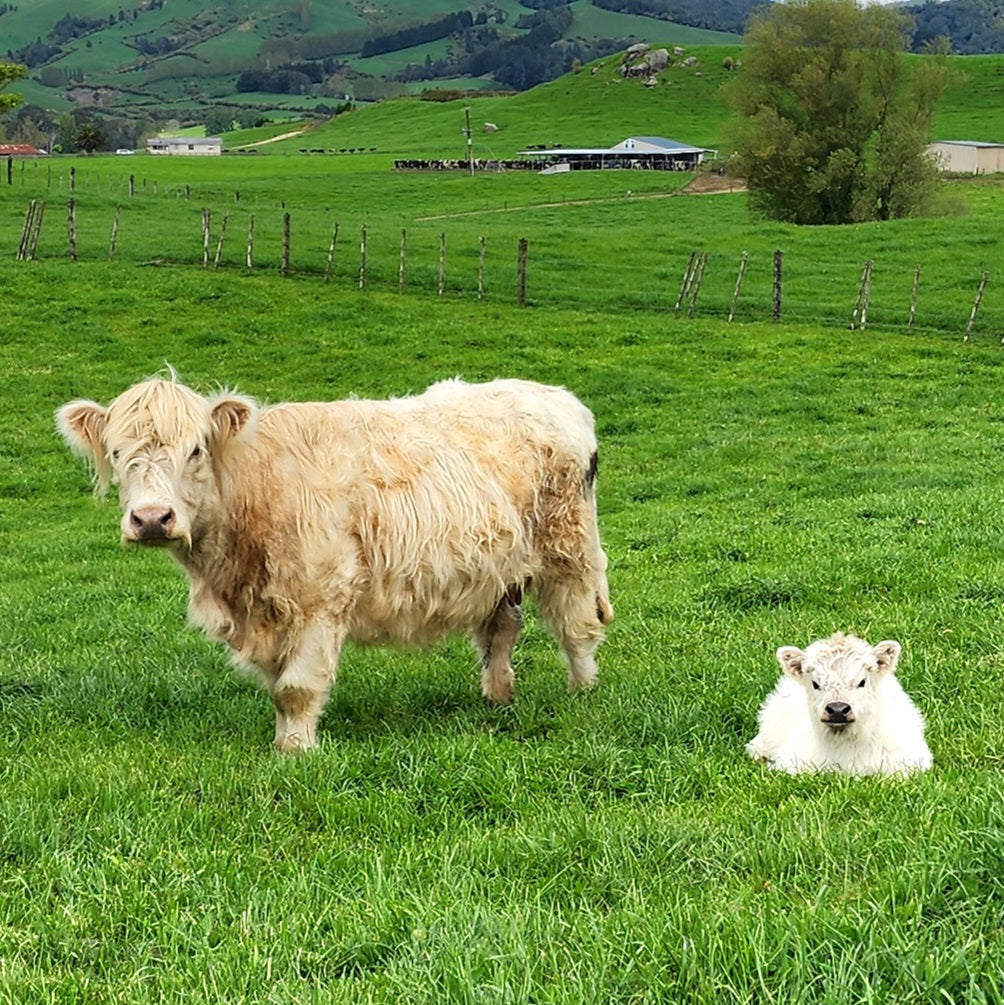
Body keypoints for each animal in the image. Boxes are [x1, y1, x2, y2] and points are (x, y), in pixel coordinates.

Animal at [60, 375, 619, 747]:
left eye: (196, 450)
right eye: (116, 452)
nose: (152, 518)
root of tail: (553, 394)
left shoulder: (320, 597)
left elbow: (297, 687)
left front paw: (294, 754)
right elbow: (278, 686)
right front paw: (287, 741)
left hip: (571, 550)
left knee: (578, 627)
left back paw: (582, 692)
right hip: (498, 570)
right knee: (501, 633)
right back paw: (497, 697)